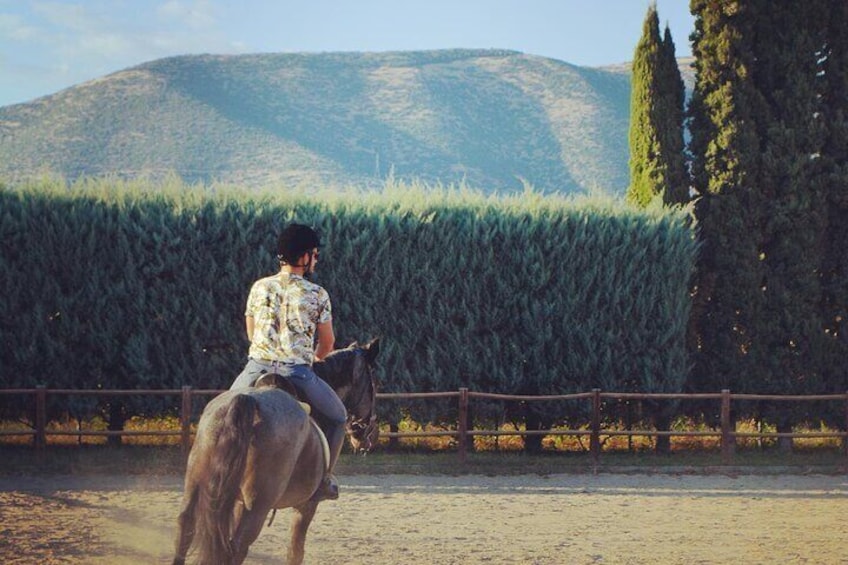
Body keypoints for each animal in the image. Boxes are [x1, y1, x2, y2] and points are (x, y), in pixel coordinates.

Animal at [172, 340, 380, 564]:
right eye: (374, 384)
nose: (369, 433)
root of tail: (246, 401)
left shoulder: (236, 501)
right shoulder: (307, 505)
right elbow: (295, 552)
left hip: (196, 487)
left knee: (185, 531)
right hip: (258, 505)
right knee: (236, 548)